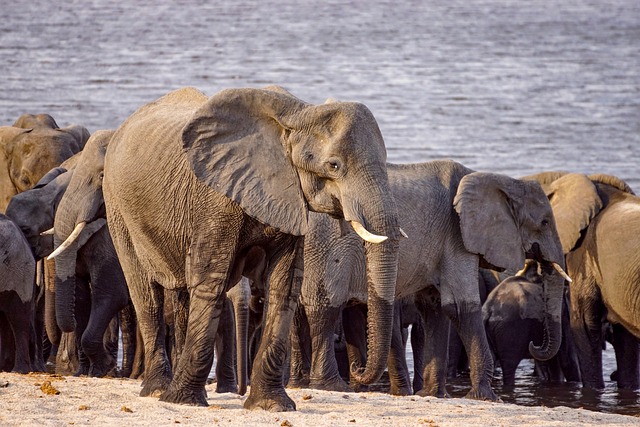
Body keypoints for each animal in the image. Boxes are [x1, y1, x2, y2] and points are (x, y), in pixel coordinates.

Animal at [101, 86, 400, 412]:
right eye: (334, 165)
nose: (358, 371)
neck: (300, 113)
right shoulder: (216, 200)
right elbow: (211, 282)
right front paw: (183, 402)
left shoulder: (289, 201)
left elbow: (284, 285)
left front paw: (272, 405)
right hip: (117, 206)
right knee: (147, 295)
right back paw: (158, 391)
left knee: (179, 296)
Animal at [298, 159, 568, 402]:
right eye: (544, 222)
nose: (534, 344)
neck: (497, 180)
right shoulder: (457, 236)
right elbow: (461, 306)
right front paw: (487, 397)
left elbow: (436, 307)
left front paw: (432, 394)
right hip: (325, 246)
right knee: (324, 308)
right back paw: (330, 386)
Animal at [482, 260, 584, 388]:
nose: (534, 345)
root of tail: (489, 311)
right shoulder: (564, 316)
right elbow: (569, 360)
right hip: (510, 333)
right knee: (509, 366)